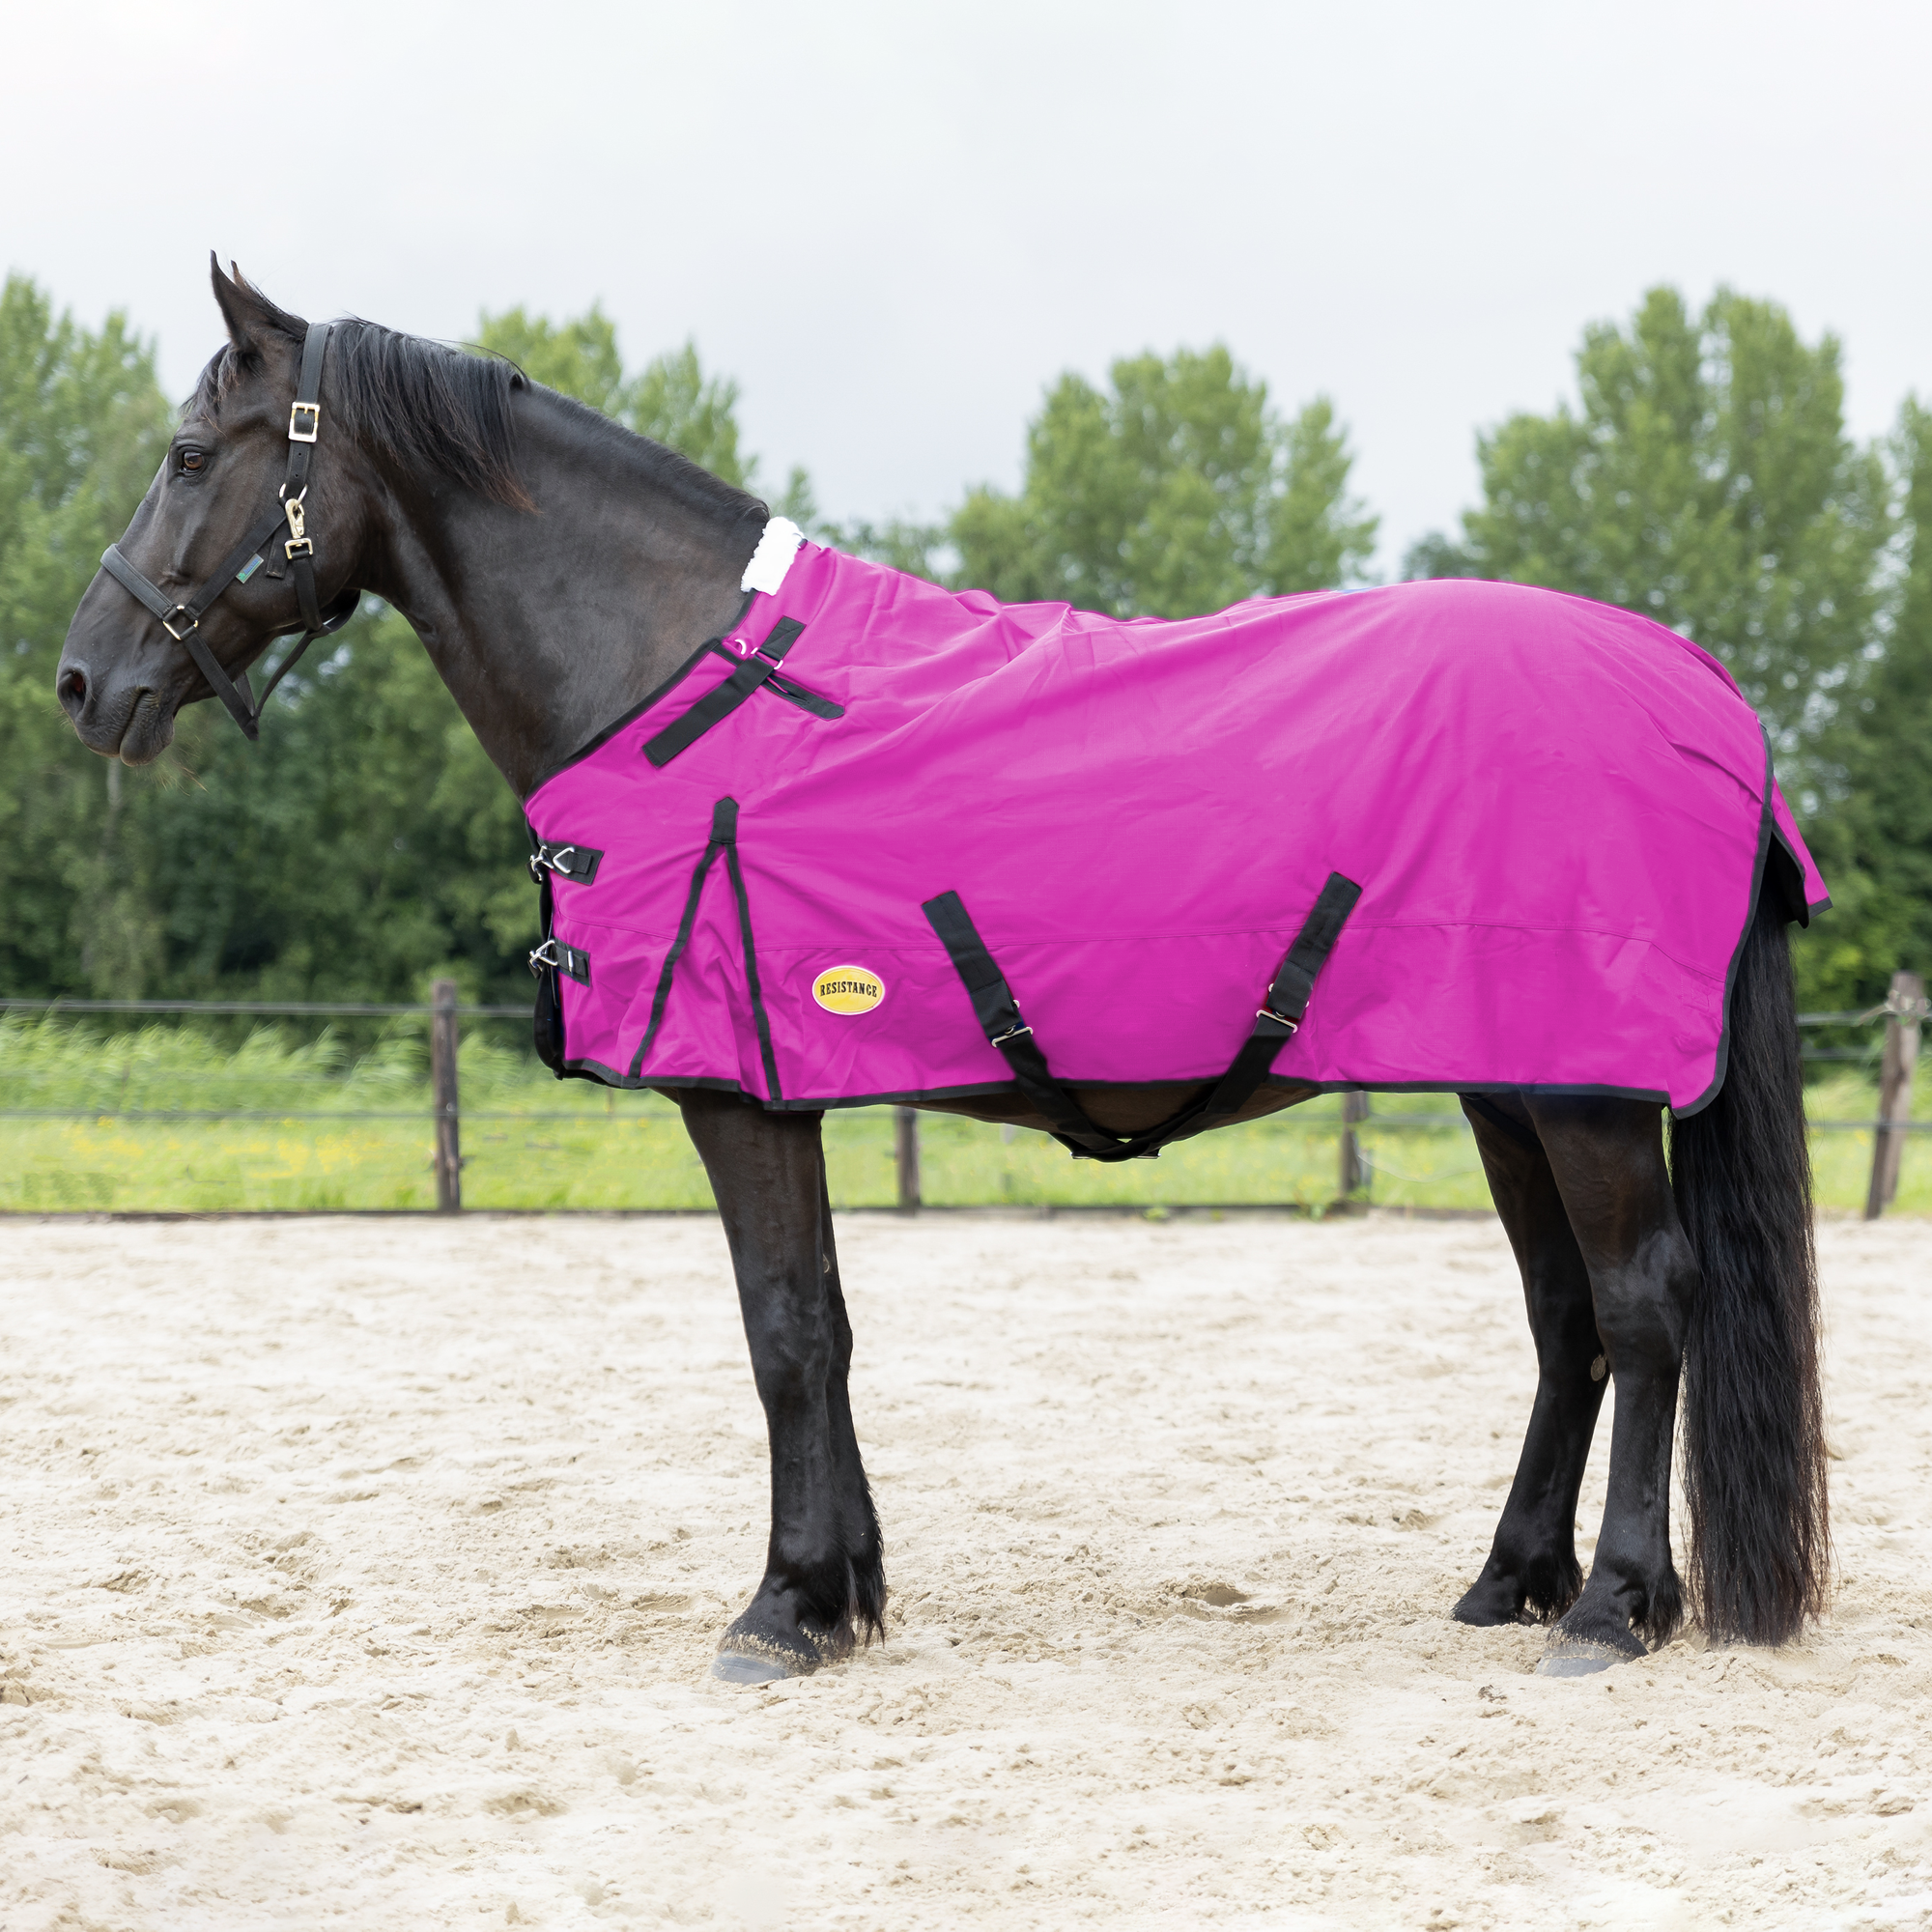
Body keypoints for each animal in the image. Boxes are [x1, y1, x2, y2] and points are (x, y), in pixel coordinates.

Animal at [57, 261, 1830, 1683]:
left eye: (190, 456)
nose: (84, 679)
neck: (679, 673)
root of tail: (1701, 691)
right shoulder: (785, 1090)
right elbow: (828, 1325)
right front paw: (844, 1591)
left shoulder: (736, 1093)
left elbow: (782, 1330)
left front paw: (783, 1611)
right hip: (1510, 1084)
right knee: (1565, 1317)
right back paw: (1509, 1580)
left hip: (1581, 1093)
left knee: (1645, 1307)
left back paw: (1612, 1608)